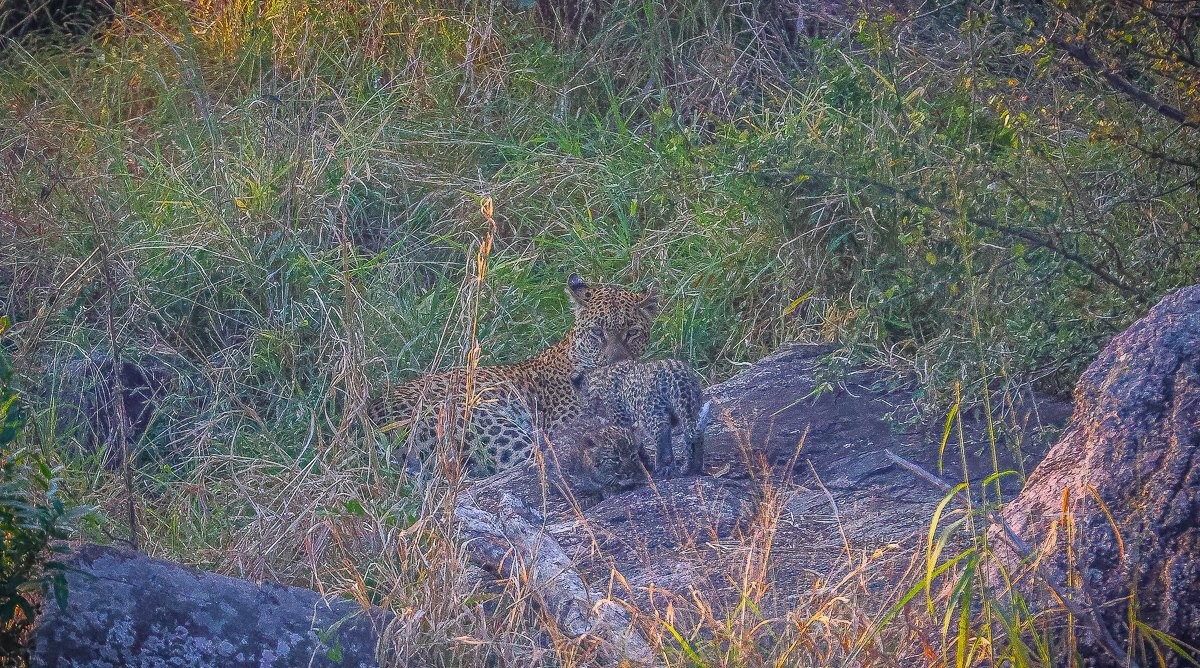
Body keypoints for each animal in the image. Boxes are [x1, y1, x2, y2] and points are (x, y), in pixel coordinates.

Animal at [573, 358, 709, 479]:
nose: (584, 413)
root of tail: (677, 373)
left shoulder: (621, 420)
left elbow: (634, 441)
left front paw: (643, 461)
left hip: (651, 413)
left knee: (662, 434)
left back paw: (662, 466)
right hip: (693, 405)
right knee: (695, 435)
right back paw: (694, 466)